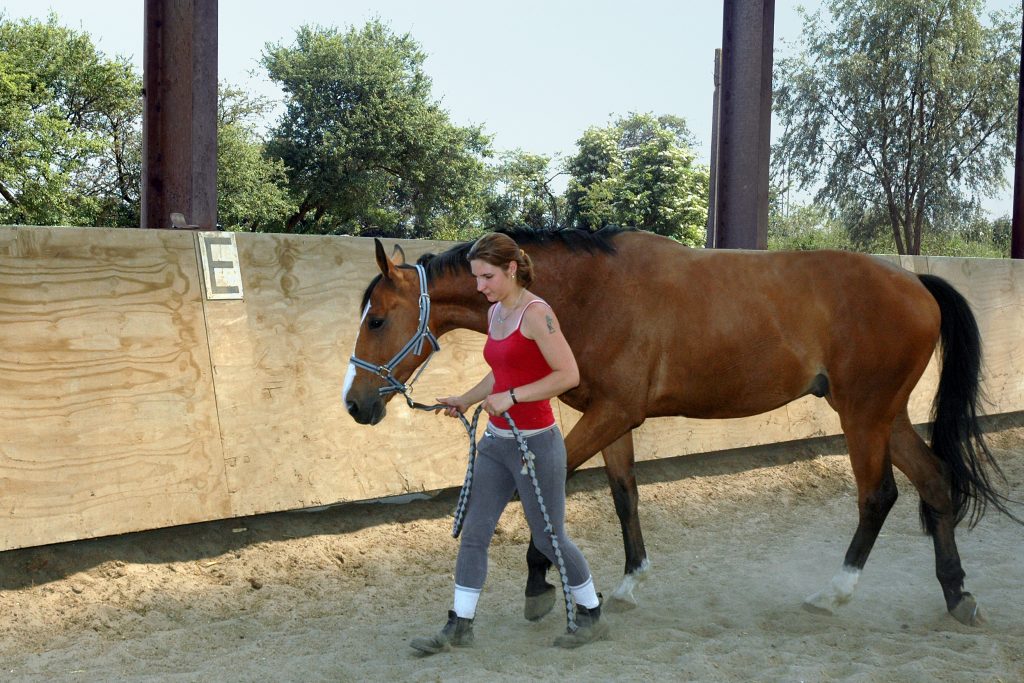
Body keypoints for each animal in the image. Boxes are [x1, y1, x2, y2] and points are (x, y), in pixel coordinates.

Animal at [342, 228, 1015, 626]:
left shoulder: (614, 413)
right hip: (887, 415)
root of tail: (914, 280)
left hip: (863, 415)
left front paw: (539, 581)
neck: (589, 293)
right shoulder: (611, 418)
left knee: (878, 496)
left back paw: (836, 592)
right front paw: (627, 582)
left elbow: (545, 493)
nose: (355, 405)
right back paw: (957, 594)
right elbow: (623, 496)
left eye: (376, 319)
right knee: (935, 482)